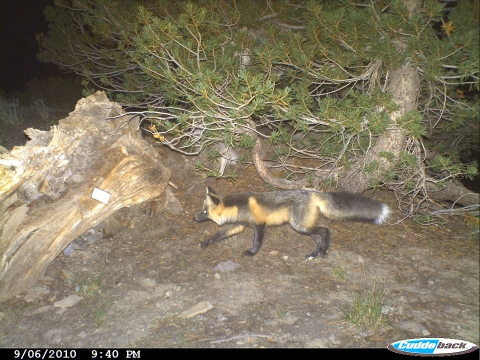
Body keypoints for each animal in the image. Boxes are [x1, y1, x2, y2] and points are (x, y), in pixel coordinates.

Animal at [193, 187, 388, 260]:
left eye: (204, 212)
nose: (195, 218)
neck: (237, 206)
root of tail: (314, 192)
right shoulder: (237, 226)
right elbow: (217, 235)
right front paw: (205, 243)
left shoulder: (260, 225)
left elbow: (257, 242)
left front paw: (252, 253)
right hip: (303, 227)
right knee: (319, 236)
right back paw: (314, 254)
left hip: (299, 226)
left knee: (326, 230)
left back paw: (324, 251)